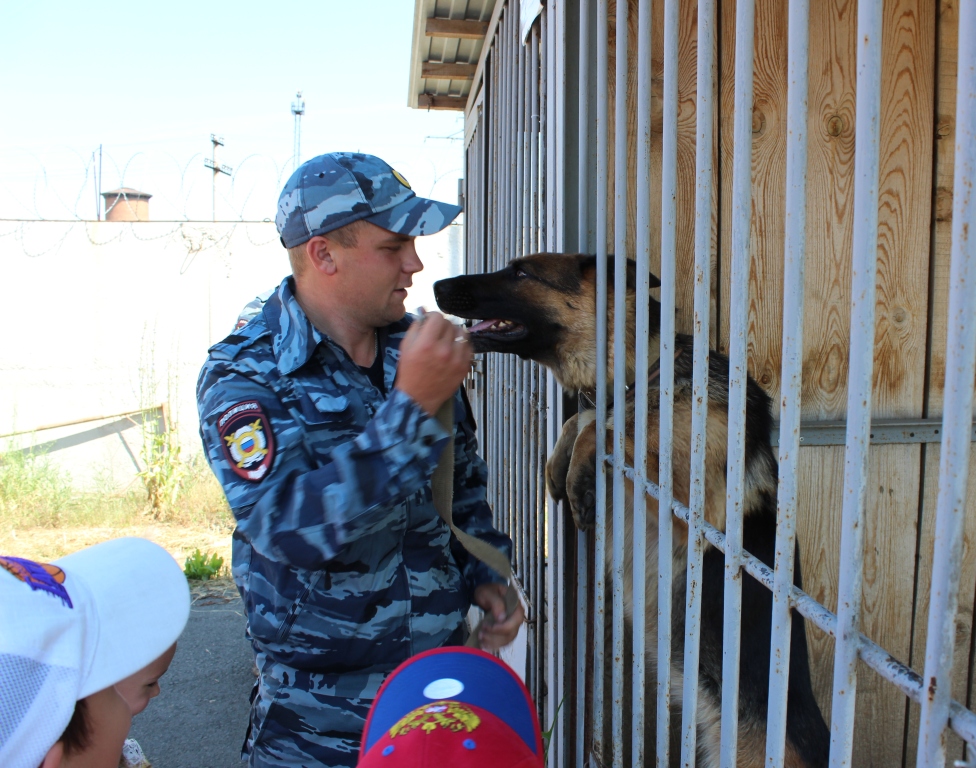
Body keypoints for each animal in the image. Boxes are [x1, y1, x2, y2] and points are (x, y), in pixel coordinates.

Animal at [432, 255, 824, 764]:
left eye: (521, 273)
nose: (436, 286)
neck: (646, 370)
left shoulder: (689, 511)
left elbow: (611, 425)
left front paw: (580, 474)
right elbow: (589, 416)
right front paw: (560, 463)